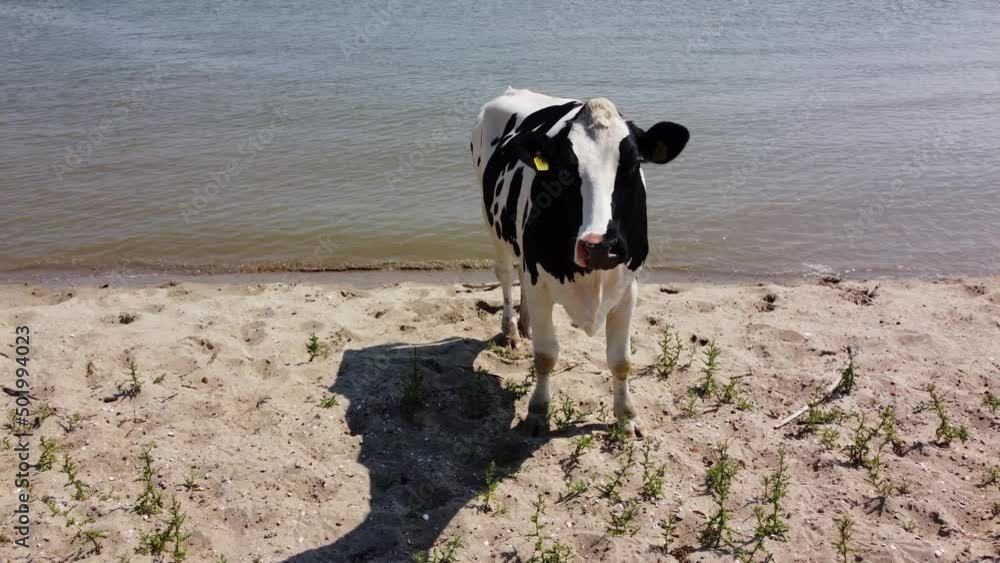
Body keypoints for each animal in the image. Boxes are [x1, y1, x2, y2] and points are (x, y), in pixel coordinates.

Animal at [471, 87, 689, 438]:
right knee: (505, 274)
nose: (599, 246)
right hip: (492, 221)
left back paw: (525, 324)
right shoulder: (541, 283)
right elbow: (546, 356)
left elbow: (621, 359)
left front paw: (627, 416)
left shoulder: (627, 288)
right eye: (565, 169)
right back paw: (511, 331)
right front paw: (537, 412)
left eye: (632, 165)